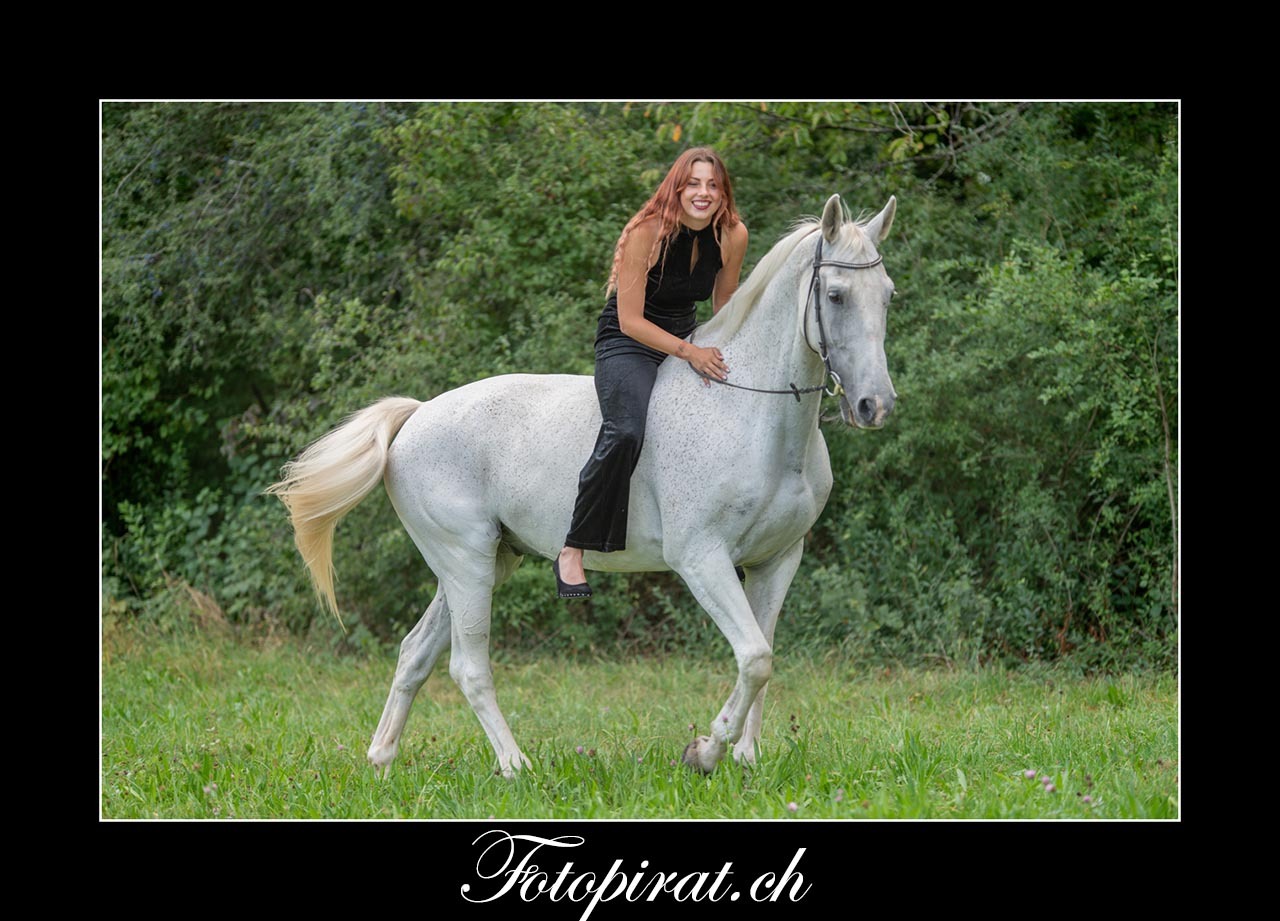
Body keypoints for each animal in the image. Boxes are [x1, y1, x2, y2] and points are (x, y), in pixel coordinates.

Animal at [269, 193, 897, 776]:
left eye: (888, 294)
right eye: (835, 295)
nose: (876, 405)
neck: (750, 413)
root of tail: (415, 417)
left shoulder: (776, 561)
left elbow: (764, 658)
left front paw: (745, 757)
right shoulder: (701, 558)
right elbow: (755, 656)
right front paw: (704, 751)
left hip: (486, 561)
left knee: (415, 653)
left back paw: (382, 760)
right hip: (465, 561)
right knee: (466, 666)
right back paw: (515, 766)